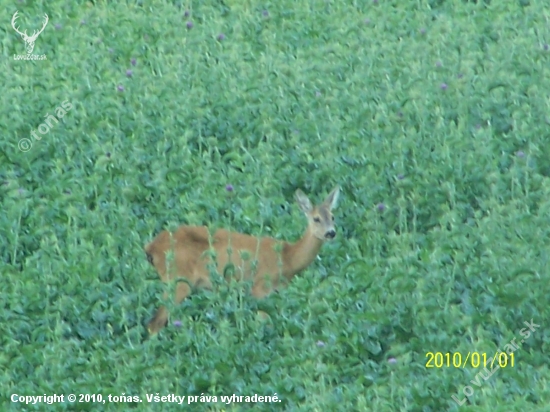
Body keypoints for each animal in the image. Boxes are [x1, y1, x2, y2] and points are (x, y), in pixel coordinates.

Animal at [144, 187, 340, 334]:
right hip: (178, 280)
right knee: (155, 322)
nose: (331, 233)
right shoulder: (259, 287)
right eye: (316, 218)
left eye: (332, 216)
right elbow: (264, 321)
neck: (287, 259)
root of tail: (151, 247)